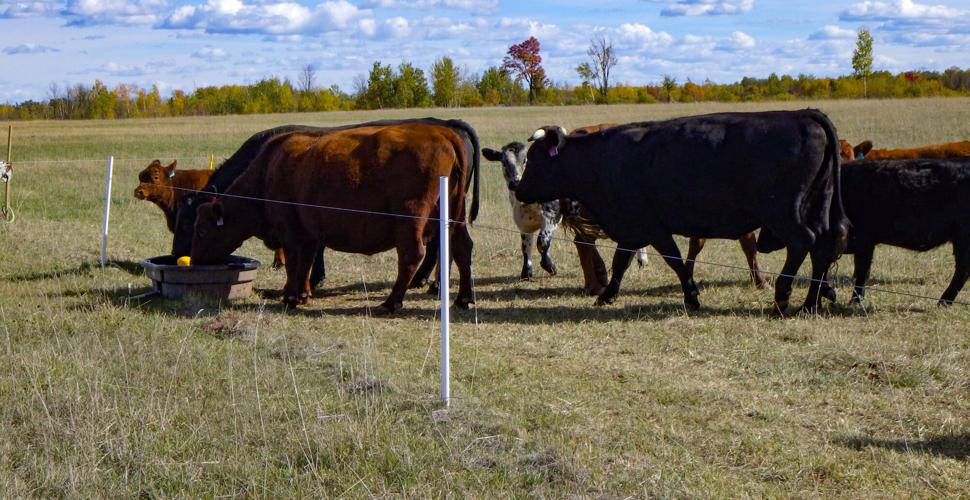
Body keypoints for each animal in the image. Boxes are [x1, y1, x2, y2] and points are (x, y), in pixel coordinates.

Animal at [189, 119, 480, 311]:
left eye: (201, 229)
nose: (194, 261)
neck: (269, 170)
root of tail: (443, 132)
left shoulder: (290, 231)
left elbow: (294, 261)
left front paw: (291, 297)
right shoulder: (309, 232)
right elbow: (306, 262)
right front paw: (303, 293)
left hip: (410, 220)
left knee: (413, 255)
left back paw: (391, 302)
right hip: (454, 216)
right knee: (462, 247)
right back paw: (463, 298)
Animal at [515, 110, 848, 314]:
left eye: (535, 159)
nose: (518, 190)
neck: (605, 158)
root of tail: (802, 115)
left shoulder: (653, 228)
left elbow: (674, 261)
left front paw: (691, 295)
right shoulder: (633, 228)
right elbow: (621, 262)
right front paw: (607, 294)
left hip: (784, 214)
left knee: (803, 242)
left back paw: (782, 296)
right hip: (818, 207)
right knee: (822, 247)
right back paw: (810, 304)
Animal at [818, 157, 970, 305]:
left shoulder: (865, 239)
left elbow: (861, 270)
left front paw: (853, 301)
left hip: (963, 238)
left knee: (963, 270)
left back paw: (943, 302)